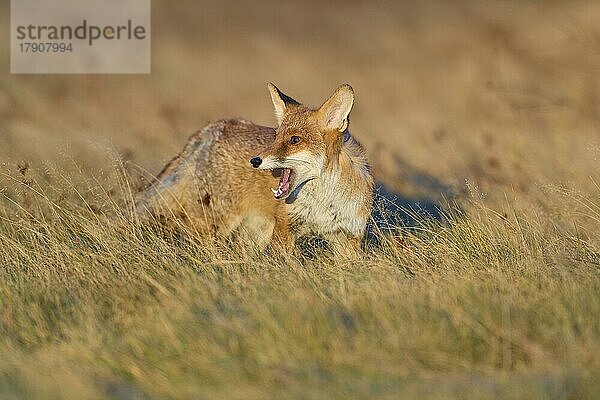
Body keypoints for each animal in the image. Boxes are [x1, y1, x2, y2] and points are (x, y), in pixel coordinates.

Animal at [134, 84, 372, 256]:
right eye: (275, 137)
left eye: (295, 140)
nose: (255, 161)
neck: (323, 204)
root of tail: (213, 127)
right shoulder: (285, 228)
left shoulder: (348, 238)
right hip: (214, 224)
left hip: (255, 233)